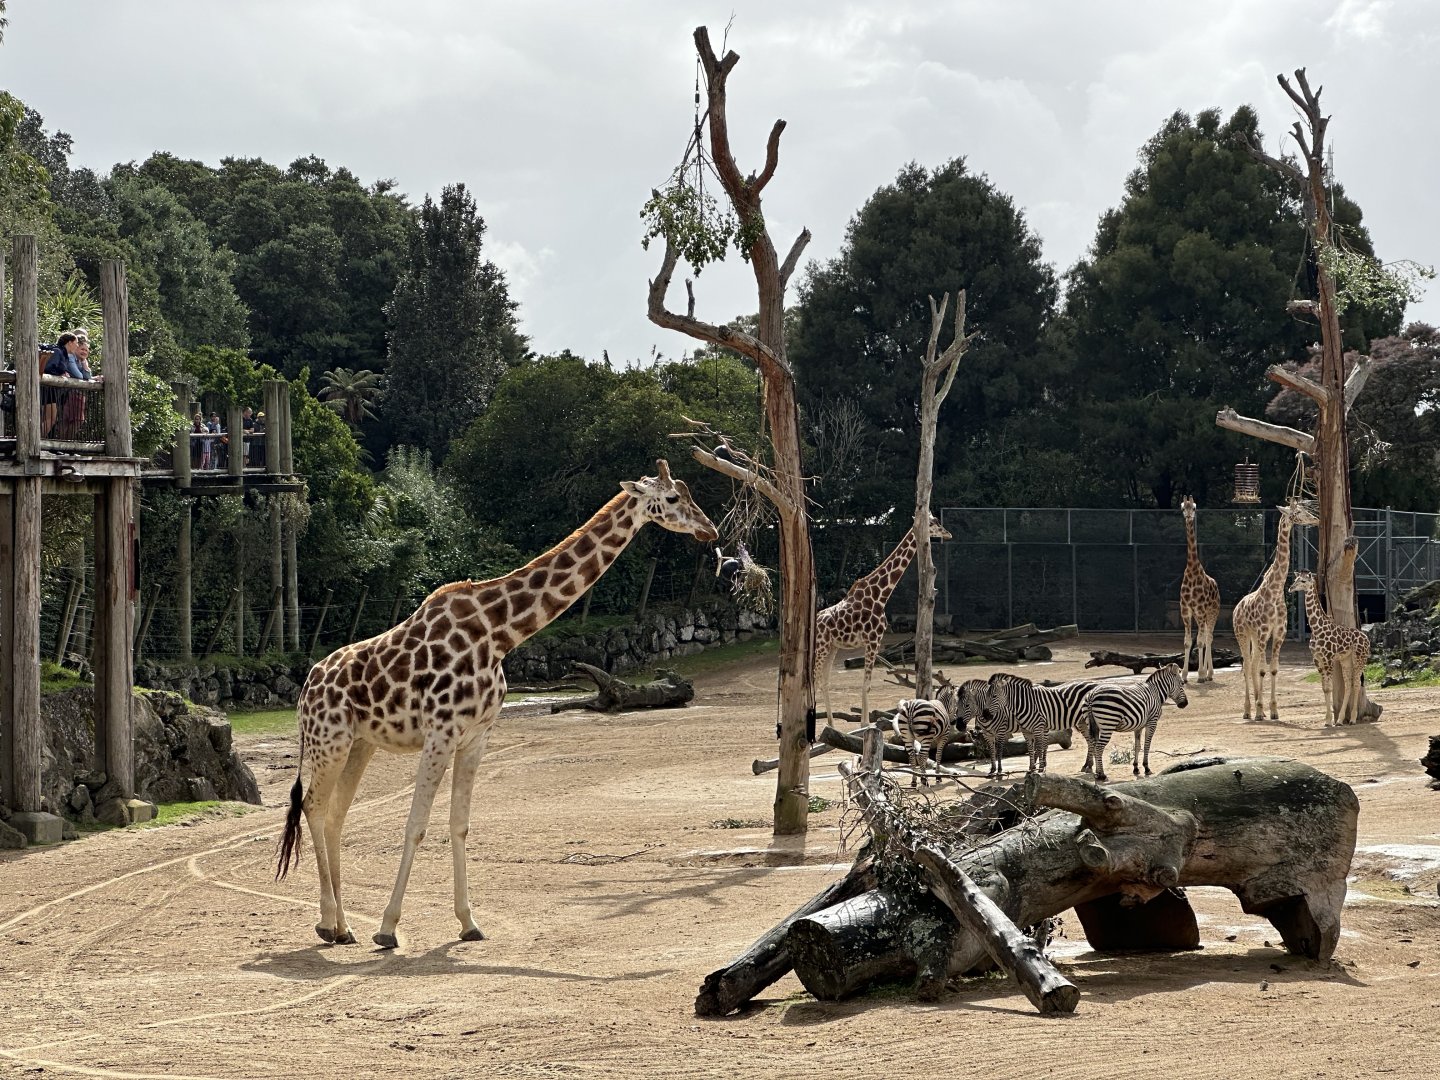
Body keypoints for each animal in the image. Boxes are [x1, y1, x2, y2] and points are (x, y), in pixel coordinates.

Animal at [275, 460, 717, 948]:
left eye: (688, 492)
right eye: (673, 498)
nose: (710, 530)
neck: (499, 634)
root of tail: (306, 687)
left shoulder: (477, 736)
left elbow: (459, 824)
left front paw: (468, 923)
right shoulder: (441, 732)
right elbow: (416, 825)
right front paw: (388, 928)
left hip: (360, 743)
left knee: (335, 813)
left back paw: (343, 926)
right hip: (328, 741)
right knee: (313, 807)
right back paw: (327, 923)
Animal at [814, 514, 952, 726]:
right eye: (933, 522)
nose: (948, 533)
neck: (881, 594)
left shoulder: (873, 642)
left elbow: (865, 684)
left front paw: (864, 723)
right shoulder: (873, 640)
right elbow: (866, 685)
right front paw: (865, 724)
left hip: (832, 647)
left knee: (823, 681)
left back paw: (830, 723)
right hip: (820, 647)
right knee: (812, 679)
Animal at [1230, 499, 1318, 720]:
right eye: (1298, 511)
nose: (1315, 519)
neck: (1276, 590)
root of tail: (1236, 608)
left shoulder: (1279, 632)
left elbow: (1273, 669)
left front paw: (1273, 710)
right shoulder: (1263, 632)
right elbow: (1262, 670)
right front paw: (1261, 710)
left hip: (1254, 637)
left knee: (1252, 665)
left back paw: (1256, 708)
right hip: (1242, 634)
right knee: (1247, 666)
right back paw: (1248, 710)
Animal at [1290, 571, 1372, 726]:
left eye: (1303, 581)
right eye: (1295, 579)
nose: (1291, 588)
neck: (1316, 629)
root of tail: (1367, 639)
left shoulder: (1328, 658)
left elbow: (1329, 688)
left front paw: (1329, 721)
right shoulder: (1317, 659)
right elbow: (1324, 688)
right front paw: (1328, 720)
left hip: (1359, 658)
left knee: (1357, 683)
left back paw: (1352, 719)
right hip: (1346, 660)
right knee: (1349, 683)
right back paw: (1340, 720)